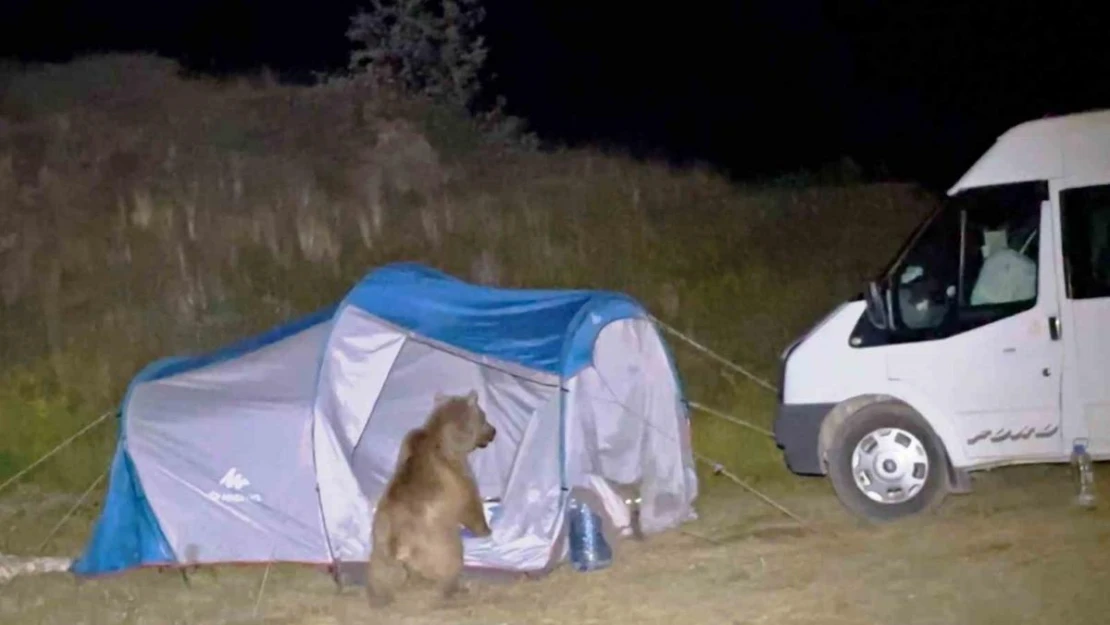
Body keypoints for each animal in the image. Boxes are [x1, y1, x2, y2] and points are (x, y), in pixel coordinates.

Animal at [366, 388, 497, 608]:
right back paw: (457, 588)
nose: (494, 431)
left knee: (380, 576)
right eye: (484, 416)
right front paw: (485, 530)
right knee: (451, 559)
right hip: (437, 541)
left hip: (380, 549)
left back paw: (380, 597)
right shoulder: (456, 470)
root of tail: (399, 547)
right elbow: (470, 503)